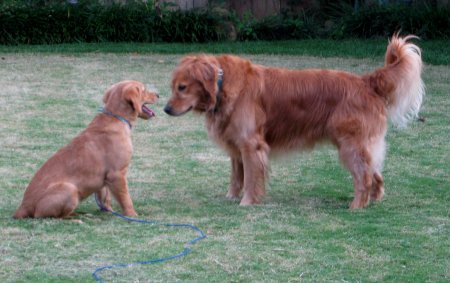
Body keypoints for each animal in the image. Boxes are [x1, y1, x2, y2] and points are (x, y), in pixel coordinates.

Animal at [14, 81, 159, 219]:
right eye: (144, 89)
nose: (158, 94)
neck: (116, 118)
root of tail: (22, 208)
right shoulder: (117, 174)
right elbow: (126, 199)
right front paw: (132, 215)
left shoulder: (104, 178)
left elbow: (105, 198)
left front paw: (108, 211)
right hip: (69, 188)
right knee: (51, 216)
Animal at [163, 34, 424, 210]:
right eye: (173, 87)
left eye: (182, 87)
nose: (165, 109)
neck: (221, 84)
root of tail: (366, 81)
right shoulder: (237, 147)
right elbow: (236, 177)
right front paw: (231, 196)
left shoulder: (251, 145)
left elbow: (250, 179)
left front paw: (247, 202)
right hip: (359, 145)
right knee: (375, 171)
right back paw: (374, 200)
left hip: (350, 146)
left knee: (364, 176)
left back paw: (357, 205)